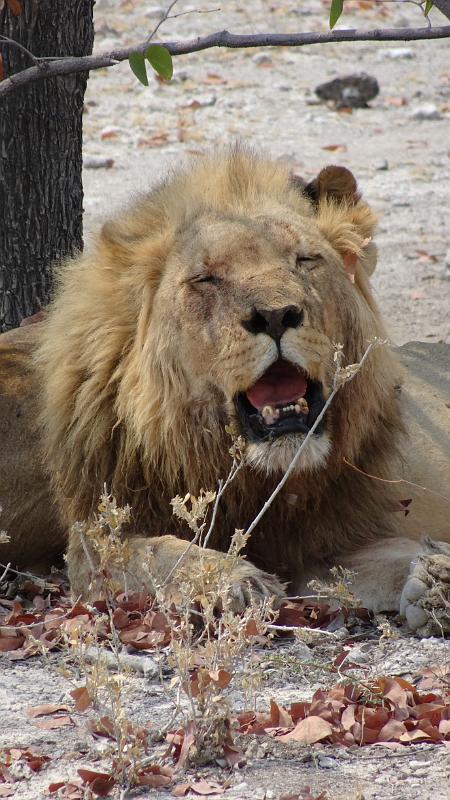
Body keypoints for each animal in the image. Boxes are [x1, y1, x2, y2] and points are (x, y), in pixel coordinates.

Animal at [0, 152, 448, 636]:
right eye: (206, 279)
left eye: (305, 259)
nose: (276, 315)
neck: (253, 478)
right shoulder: (94, 537)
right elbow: (156, 555)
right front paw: (236, 582)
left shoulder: (327, 539)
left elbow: (390, 555)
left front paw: (435, 582)